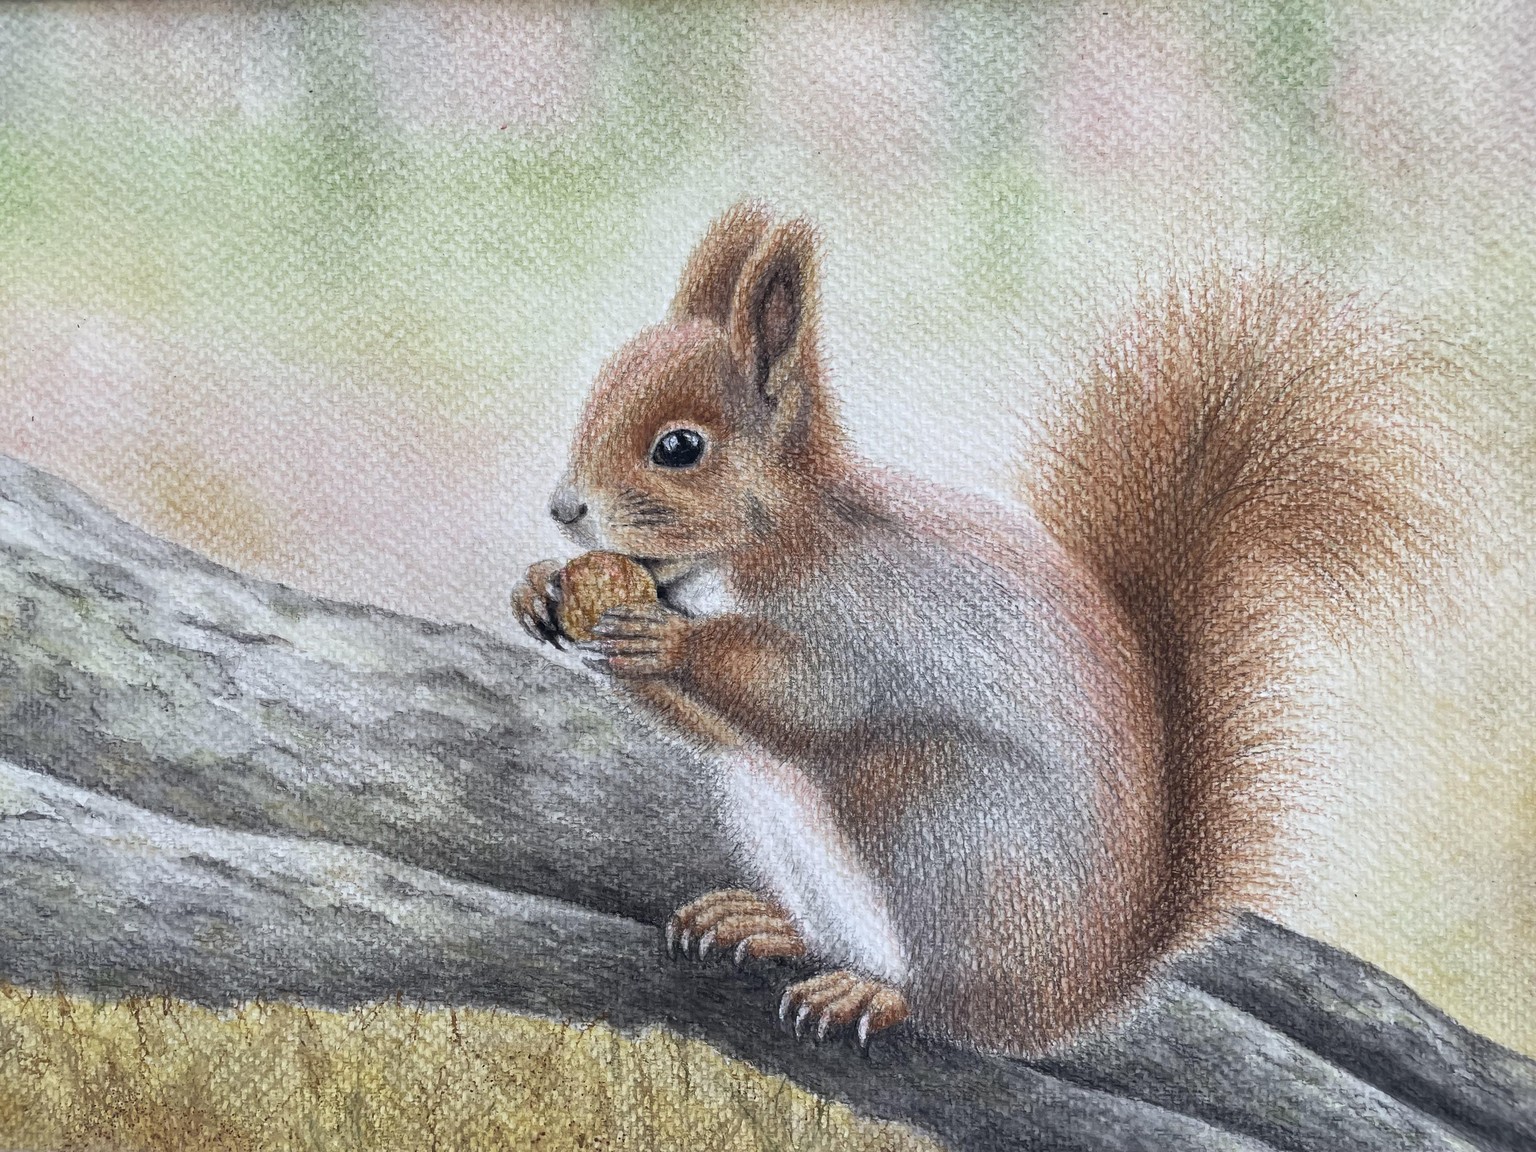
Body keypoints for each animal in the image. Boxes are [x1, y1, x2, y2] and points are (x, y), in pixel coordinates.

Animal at [514, 202, 1444, 1056]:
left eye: (680, 447)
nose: (562, 508)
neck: (748, 555)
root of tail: (1089, 987)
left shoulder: (869, 618)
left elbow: (808, 698)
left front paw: (663, 641)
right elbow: (720, 729)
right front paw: (539, 593)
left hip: (941, 824)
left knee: (956, 1010)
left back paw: (872, 993)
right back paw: (762, 922)